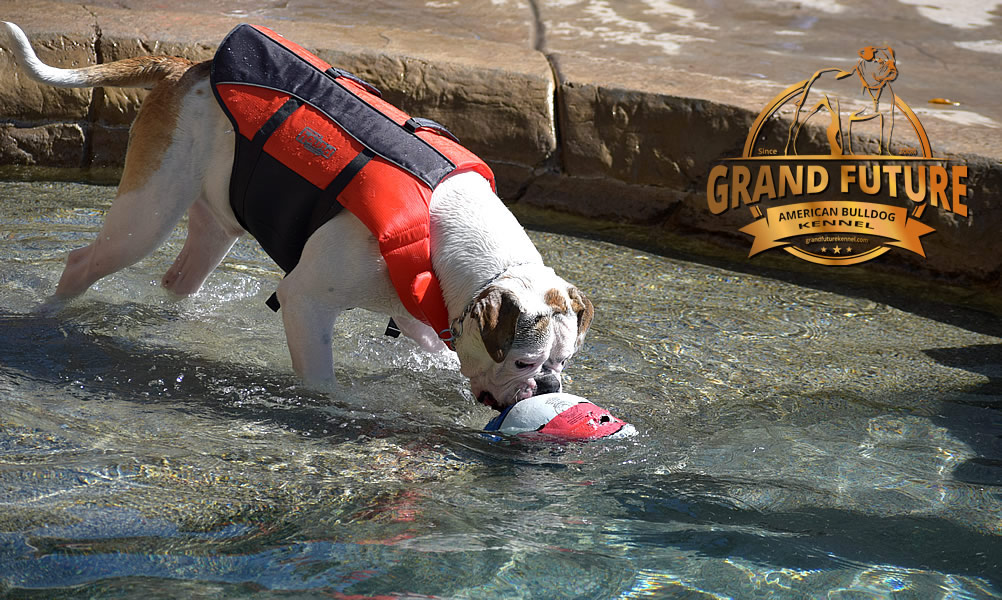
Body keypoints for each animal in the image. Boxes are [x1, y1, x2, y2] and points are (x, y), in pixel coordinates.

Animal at [0, 21, 589, 410]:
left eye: (563, 363)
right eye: (525, 363)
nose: (548, 386)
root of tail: (186, 68)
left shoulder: (422, 311)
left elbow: (440, 350)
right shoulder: (306, 301)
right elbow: (320, 378)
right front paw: (330, 408)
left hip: (216, 223)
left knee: (179, 278)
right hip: (145, 215)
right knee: (83, 263)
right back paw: (44, 319)